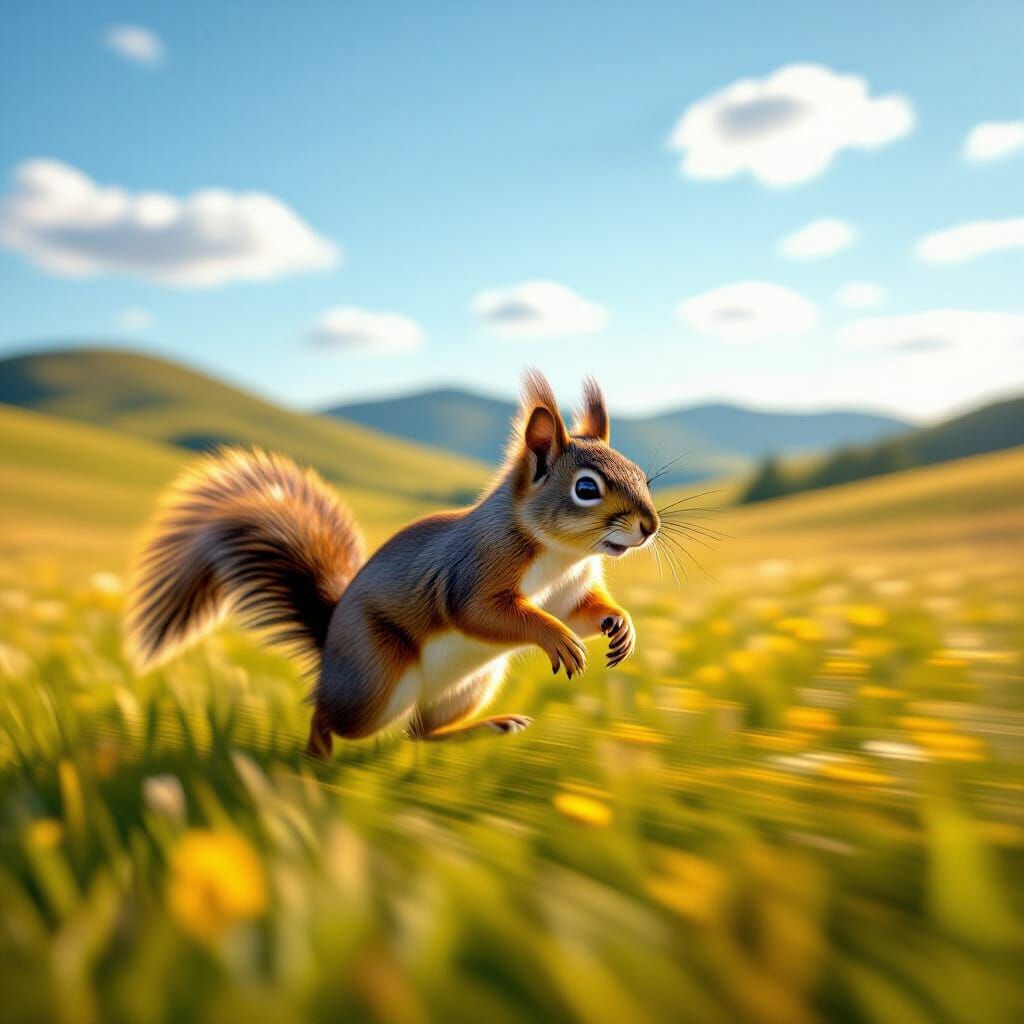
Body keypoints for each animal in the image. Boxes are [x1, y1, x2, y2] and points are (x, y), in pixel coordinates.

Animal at [126, 371, 660, 758]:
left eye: (640, 474)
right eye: (586, 488)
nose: (649, 526)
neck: (561, 555)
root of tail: (330, 648)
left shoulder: (572, 588)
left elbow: (580, 612)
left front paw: (620, 625)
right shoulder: (477, 570)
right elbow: (484, 612)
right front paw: (557, 639)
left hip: (467, 686)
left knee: (419, 732)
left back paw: (490, 726)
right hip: (374, 682)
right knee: (332, 715)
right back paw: (314, 760)